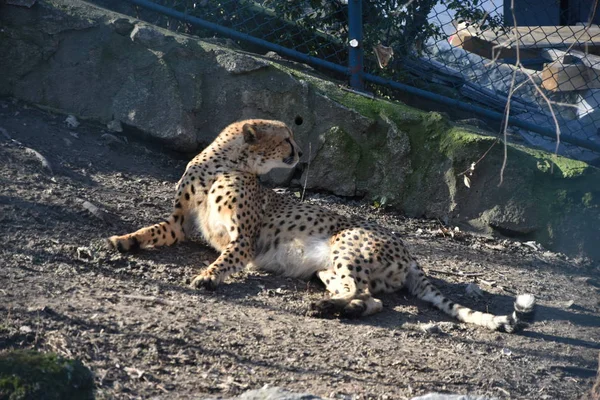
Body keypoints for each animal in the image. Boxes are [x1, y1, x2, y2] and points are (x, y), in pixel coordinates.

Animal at [108, 118, 536, 332]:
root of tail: (409, 251)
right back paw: (338, 309)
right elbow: (152, 231)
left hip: (346, 246)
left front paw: (208, 277)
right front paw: (123, 240)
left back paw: (324, 308)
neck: (224, 163)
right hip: (327, 270)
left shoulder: (243, 239)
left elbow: (225, 258)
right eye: (286, 138)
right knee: (371, 299)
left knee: (362, 293)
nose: (300, 153)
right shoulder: (180, 223)